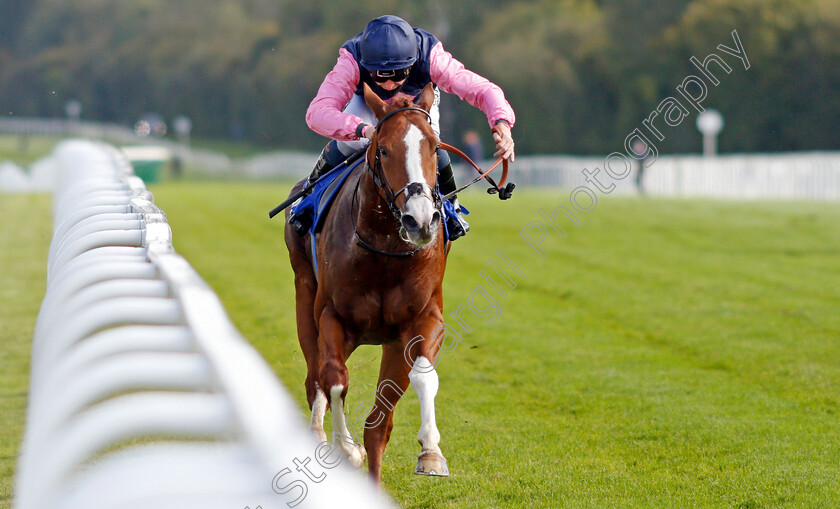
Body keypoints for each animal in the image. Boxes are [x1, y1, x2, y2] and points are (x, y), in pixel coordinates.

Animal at [284, 82, 452, 480]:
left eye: (434, 147)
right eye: (384, 149)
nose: (420, 220)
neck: (385, 252)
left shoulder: (424, 318)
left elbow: (424, 375)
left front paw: (431, 453)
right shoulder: (333, 317)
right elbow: (334, 378)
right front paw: (346, 450)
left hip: (392, 343)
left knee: (379, 424)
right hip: (305, 298)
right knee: (315, 378)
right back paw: (319, 435)